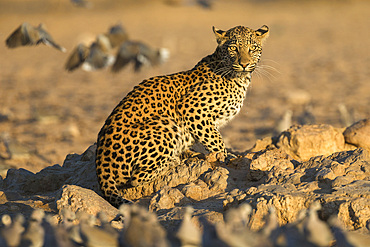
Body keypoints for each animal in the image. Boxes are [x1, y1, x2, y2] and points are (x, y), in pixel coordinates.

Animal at [95, 25, 268, 206]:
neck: (239, 78)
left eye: (252, 48)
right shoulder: (192, 109)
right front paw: (224, 159)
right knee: (137, 178)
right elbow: (217, 141)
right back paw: (174, 162)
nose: (244, 64)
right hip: (165, 123)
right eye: (233, 48)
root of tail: (102, 166)